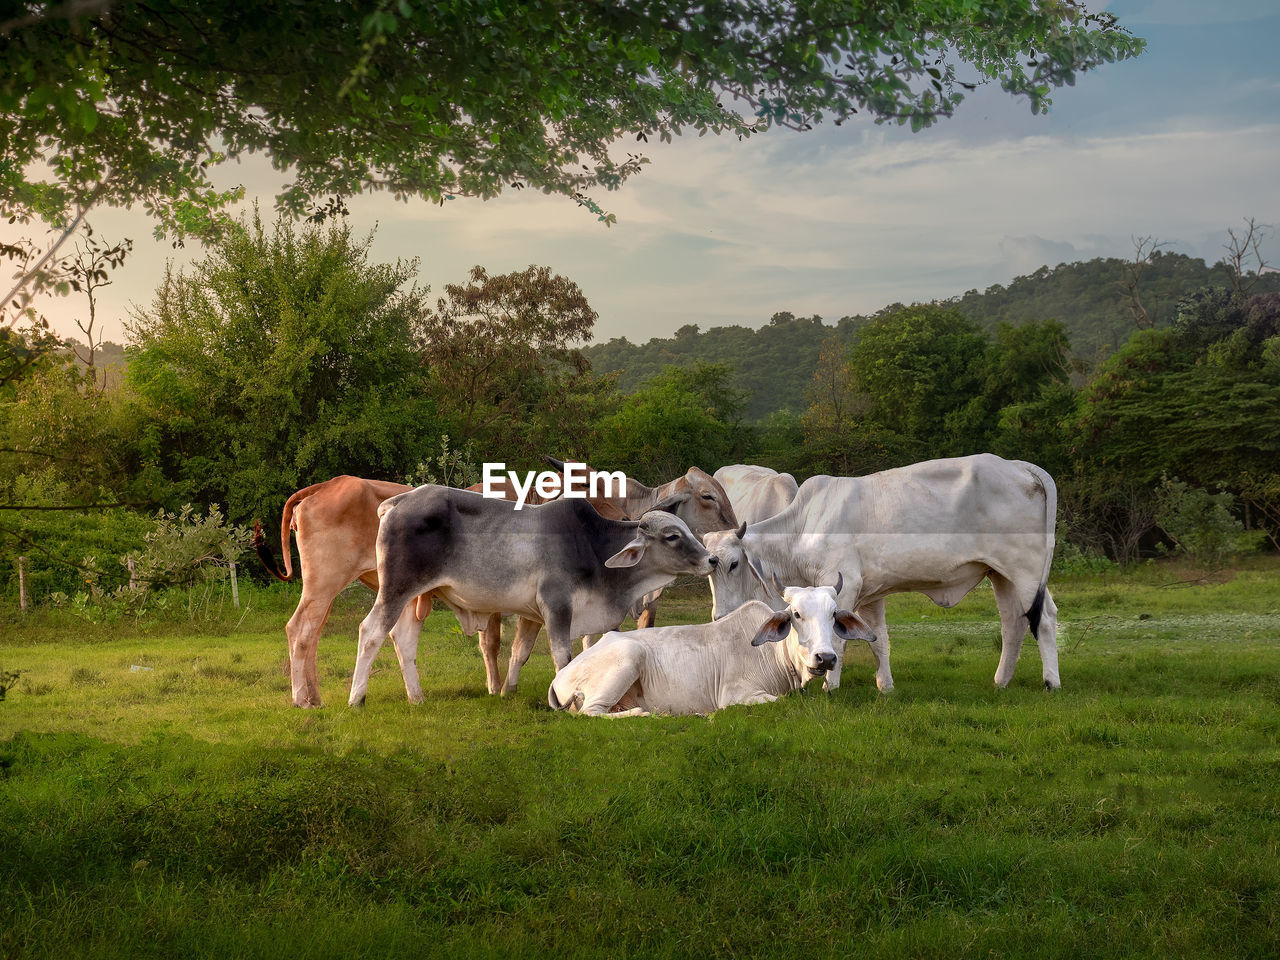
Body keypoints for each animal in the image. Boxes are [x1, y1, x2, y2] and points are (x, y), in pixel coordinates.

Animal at [545, 586, 875, 721]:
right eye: (796, 614)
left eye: (833, 615)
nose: (825, 658)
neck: (775, 655)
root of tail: (559, 678)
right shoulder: (736, 695)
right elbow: (778, 701)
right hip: (629, 655)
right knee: (591, 713)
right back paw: (647, 714)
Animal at [701, 455, 1059, 696]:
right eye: (709, 567)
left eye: (733, 563)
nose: (719, 617)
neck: (802, 527)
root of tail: (1020, 465)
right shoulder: (871, 594)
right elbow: (879, 640)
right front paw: (885, 686)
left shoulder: (844, 585)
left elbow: (839, 640)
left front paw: (830, 685)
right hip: (1001, 575)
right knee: (1014, 623)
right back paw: (1001, 681)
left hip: (1024, 570)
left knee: (1042, 619)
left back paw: (1050, 681)